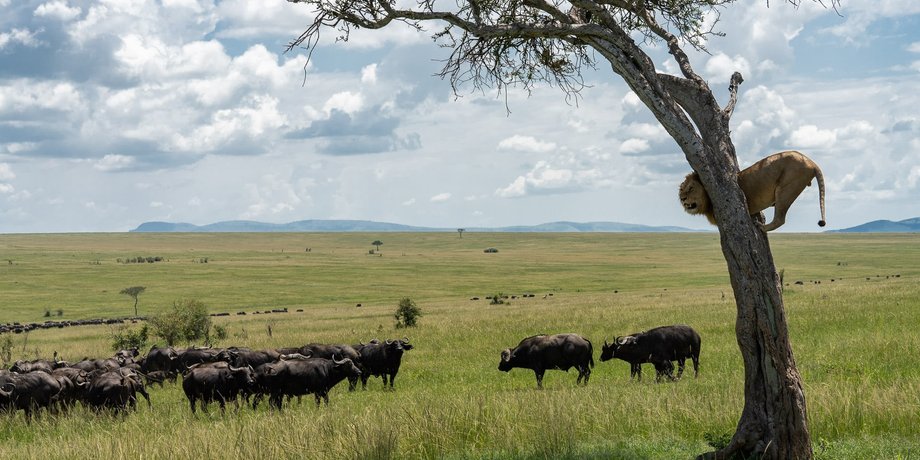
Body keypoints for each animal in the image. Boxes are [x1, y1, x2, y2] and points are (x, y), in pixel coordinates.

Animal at [678, 150, 826, 232]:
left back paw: (761, 227)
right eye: (681, 190)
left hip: (786, 189)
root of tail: (812, 163)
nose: (682, 199)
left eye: (691, 188)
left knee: (780, 219)